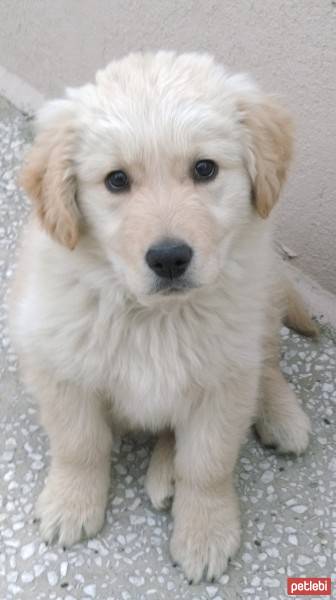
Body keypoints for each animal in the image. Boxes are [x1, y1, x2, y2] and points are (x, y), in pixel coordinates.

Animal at [11, 51, 312, 580]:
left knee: (268, 361)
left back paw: (281, 417)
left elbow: (207, 463)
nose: (170, 258)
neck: (154, 316)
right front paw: (70, 502)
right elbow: (78, 443)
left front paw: (205, 531)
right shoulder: (60, 364)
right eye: (116, 180)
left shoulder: (224, 380)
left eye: (205, 169)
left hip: (263, 300)